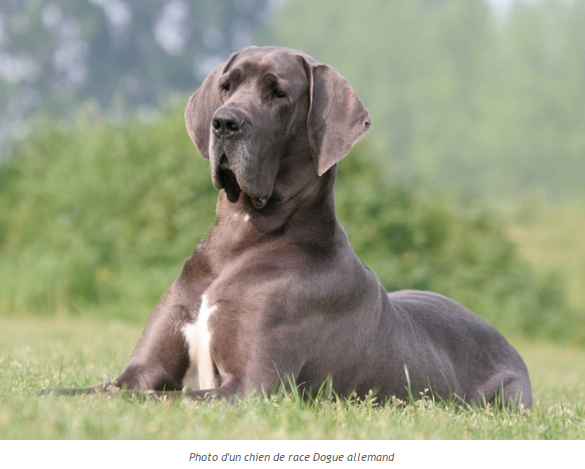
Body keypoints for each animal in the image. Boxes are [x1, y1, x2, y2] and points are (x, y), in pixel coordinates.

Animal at [48, 45, 532, 408]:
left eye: (278, 93)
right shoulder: (141, 371)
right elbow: (85, 391)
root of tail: (512, 347)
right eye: (227, 85)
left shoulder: (250, 387)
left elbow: (161, 398)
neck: (239, 240)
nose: (223, 122)